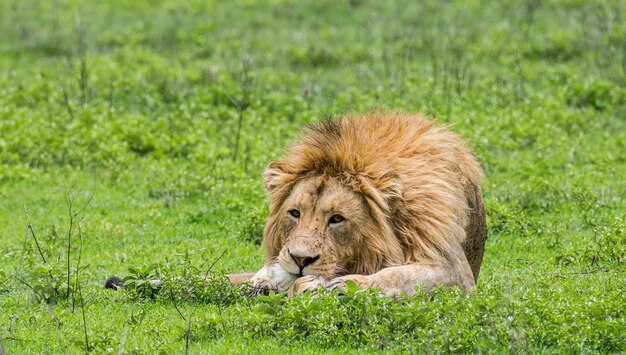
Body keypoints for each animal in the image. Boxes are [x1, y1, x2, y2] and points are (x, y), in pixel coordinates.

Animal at [229, 111, 488, 298]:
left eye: (337, 218)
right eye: (294, 213)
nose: (300, 260)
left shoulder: (456, 272)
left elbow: (394, 277)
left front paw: (330, 286)